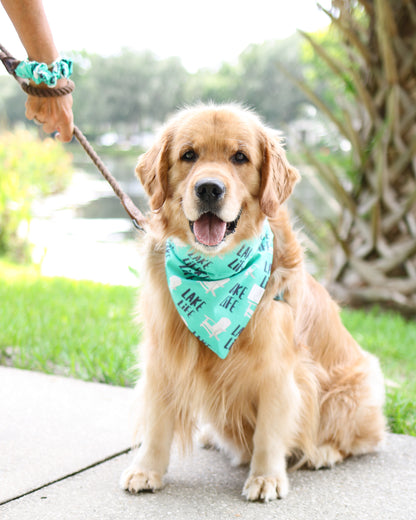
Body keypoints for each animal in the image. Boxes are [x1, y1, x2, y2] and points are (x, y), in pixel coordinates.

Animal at [119, 103, 384, 502]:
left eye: (240, 157)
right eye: (188, 155)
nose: (209, 188)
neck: (214, 275)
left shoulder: (277, 368)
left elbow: (269, 432)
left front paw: (265, 477)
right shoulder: (163, 355)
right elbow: (156, 422)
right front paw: (147, 469)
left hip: (354, 388)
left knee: (360, 439)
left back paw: (323, 451)